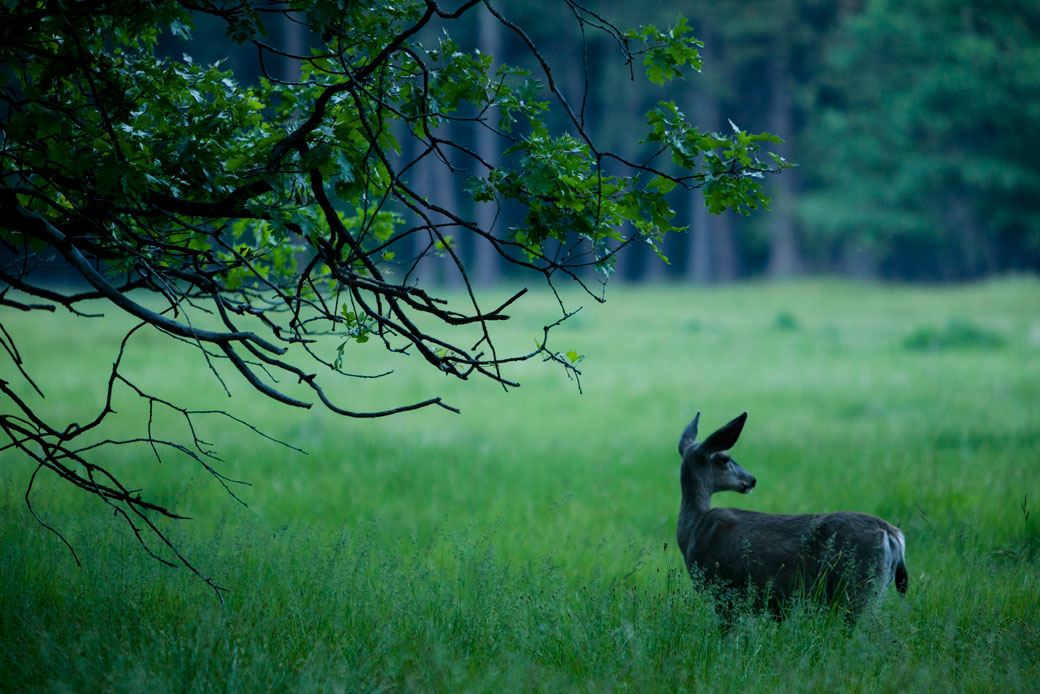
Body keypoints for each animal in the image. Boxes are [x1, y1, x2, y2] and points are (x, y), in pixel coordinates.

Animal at [673, 409, 911, 615]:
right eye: (725, 459)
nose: (751, 479)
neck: (694, 528)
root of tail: (892, 534)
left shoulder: (719, 586)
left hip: (856, 587)